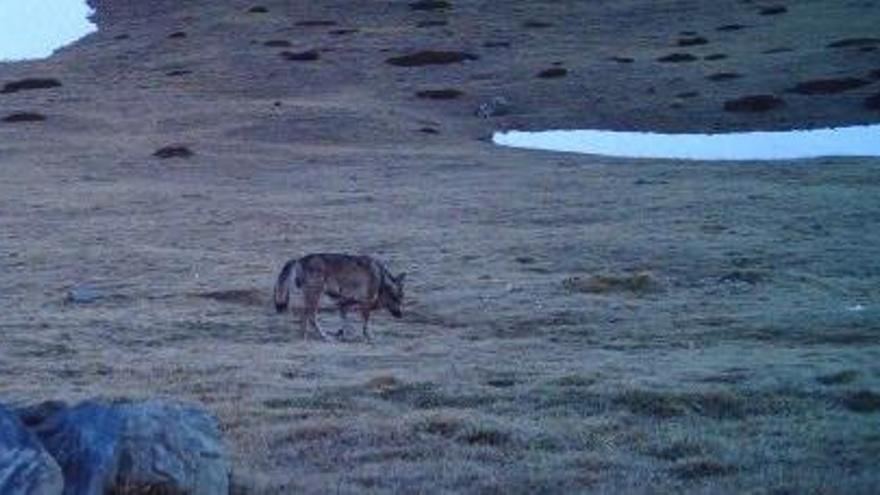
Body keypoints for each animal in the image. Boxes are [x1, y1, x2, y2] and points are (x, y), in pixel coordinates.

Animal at [274, 254, 408, 342]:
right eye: (395, 298)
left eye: (401, 299)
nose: (400, 315)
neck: (380, 278)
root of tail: (299, 260)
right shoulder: (365, 304)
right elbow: (365, 324)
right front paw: (368, 337)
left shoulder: (344, 303)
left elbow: (344, 321)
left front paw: (342, 334)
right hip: (315, 296)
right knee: (310, 317)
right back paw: (324, 337)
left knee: (304, 318)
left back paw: (304, 337)